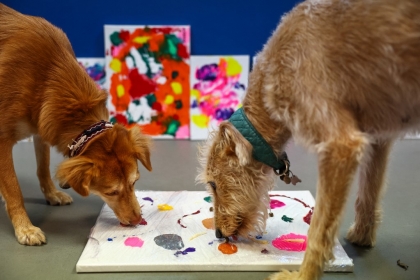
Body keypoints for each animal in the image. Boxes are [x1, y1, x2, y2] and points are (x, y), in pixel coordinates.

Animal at [0, 3, 151, 245]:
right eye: (111, 192)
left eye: (134, 182)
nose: (138, 220)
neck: (47, 76)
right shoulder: (2, 140)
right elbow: (14, 189)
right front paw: (25, 227)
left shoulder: (42, 125)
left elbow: (43, 167)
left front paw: (52, 193)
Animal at [199, 1, 420, 278]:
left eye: (214, 184)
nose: (218, 234)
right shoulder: (377, 135)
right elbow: (368, 192)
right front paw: (362, 235)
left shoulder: (339, 146)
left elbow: (319, 230)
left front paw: (303, 274)